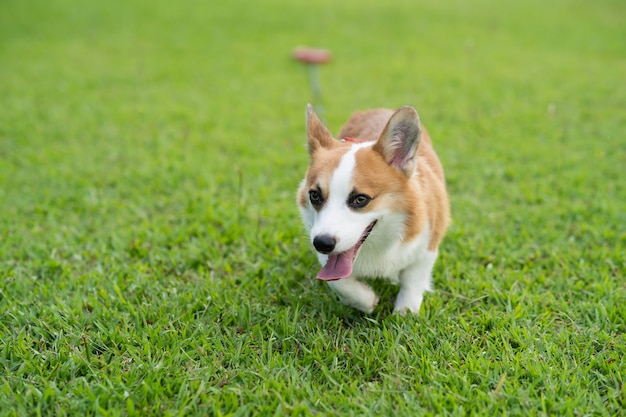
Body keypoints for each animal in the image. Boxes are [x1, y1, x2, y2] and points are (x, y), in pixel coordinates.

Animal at [298, 105, 448, 314]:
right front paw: (366, 300)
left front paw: (405, 311)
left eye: (360, 199)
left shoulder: (427, 246)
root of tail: (380, 109)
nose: (322, 243)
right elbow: (339, 282)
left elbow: (413, 280)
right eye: (315, 196)